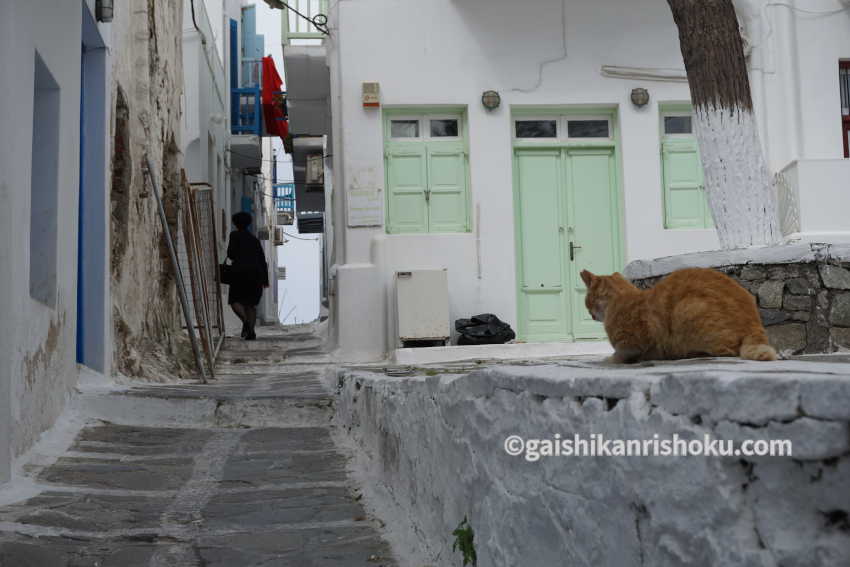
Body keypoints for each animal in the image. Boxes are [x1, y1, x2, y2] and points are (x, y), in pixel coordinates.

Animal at [584, 268, 776, 364]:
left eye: (586, 301)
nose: (590, 315)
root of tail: (755, 321)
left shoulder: (630, 344)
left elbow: (617, 356)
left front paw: (608, 359)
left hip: (687, 309)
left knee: (727, 352)